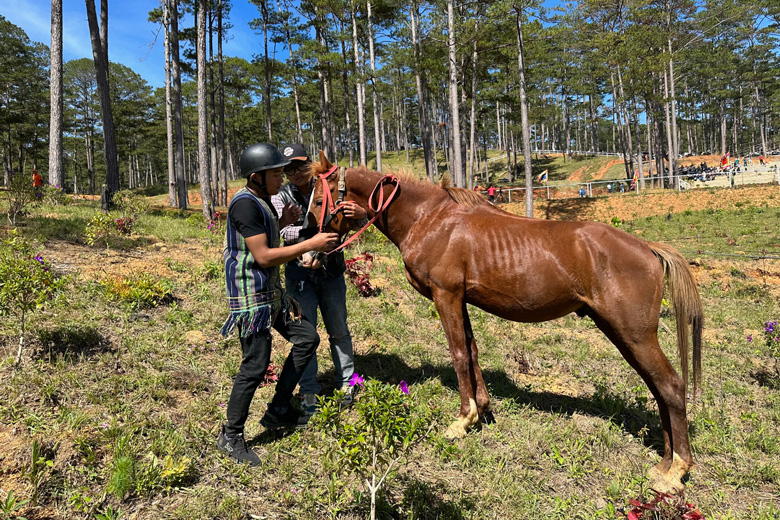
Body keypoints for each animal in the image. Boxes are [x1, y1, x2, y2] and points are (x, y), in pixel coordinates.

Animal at [308, 153, 704, 492]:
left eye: (315, 200)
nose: (309, 253)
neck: (429, 219)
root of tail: (648, 248)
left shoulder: (446, 296)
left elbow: (458, 354)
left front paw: (463, 419)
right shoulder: (461, 299)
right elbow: (471, 351)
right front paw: (482, 410)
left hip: (634, 334)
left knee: (670, 386)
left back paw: (676, 471)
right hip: (622, 333)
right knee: (657, 388)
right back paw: (664, 462)